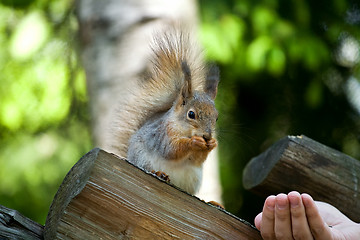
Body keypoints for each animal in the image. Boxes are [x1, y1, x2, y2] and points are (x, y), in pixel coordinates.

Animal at [107, 29, 219, 196]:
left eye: (216, 118)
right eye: (191, 114)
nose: (207, 136)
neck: (184, 130)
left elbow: (197, 159)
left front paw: (212, 143)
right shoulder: (163, 134)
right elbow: (171, 150)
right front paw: (194, 142)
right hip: (142, 158)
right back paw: (159, 173)